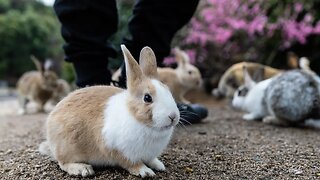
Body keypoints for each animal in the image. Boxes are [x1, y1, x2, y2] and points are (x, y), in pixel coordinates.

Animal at [38, 45, 179, 178]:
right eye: (147, 98)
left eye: (168, 91)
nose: (173, 116)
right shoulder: (118, 150)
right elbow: (131, 164)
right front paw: (145, 171)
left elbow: (150, 160)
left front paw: (159, 165)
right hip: (67, 148)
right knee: (62, 163)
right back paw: (82, 169)